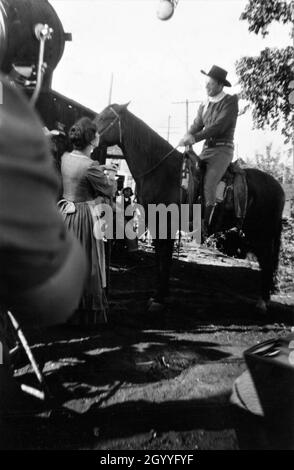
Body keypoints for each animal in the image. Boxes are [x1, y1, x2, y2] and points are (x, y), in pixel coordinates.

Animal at [96, 104, 284, 314]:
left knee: (266, 263)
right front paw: (160, 295)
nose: (82, 131)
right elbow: (161, 260)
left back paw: (262, 302)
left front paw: (159, 299)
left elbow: (165, 260)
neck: (161, 171)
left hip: (261, 235)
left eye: (105, 118)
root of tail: (278, 187)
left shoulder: (166, 225)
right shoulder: (156, 225)